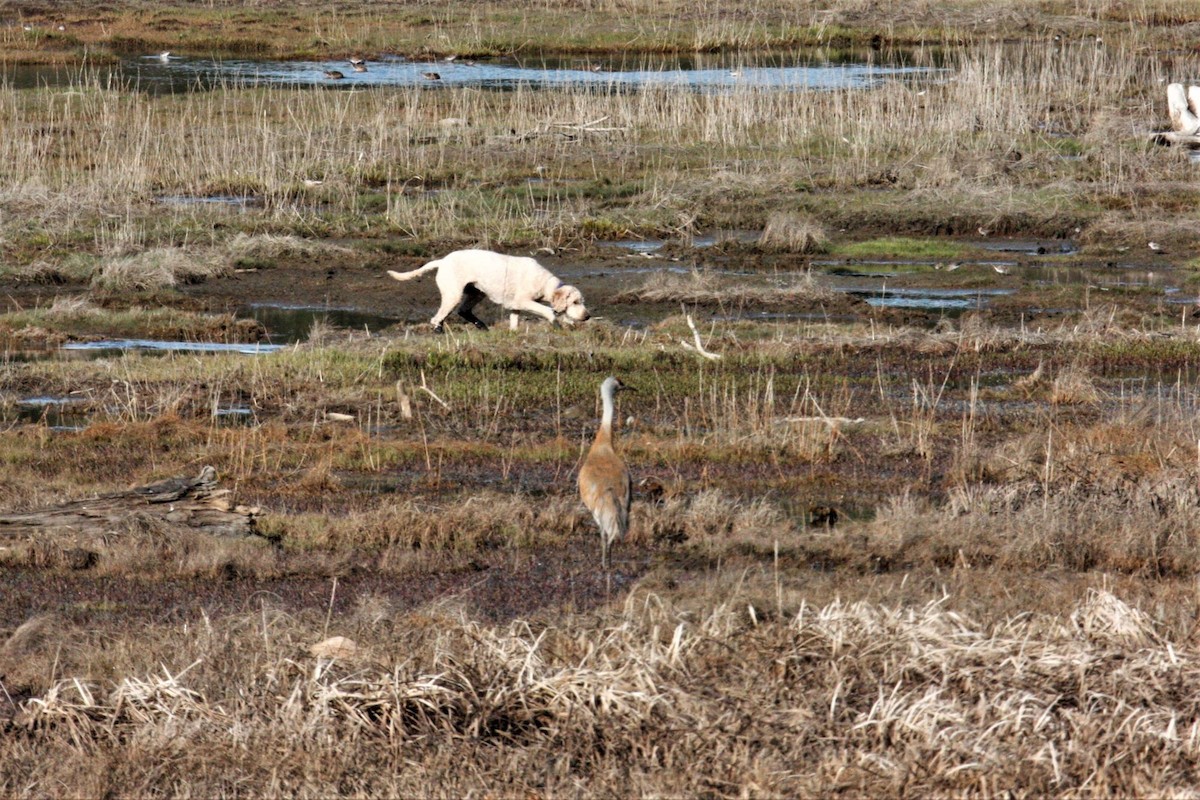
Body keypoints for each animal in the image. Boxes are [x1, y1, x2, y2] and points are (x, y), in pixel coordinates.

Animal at [386, 247, 588, 328]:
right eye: (575, 302)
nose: (587, 316)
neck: (545, 282)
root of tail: (442, 261)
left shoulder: (514, 307)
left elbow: (514, 323)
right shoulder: (523, 301)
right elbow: (548, 311)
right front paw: (556, 323)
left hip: (477, 293)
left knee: (463, 311)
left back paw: (482, 326)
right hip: (453, 295)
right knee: (437, 319)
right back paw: (439, 330)